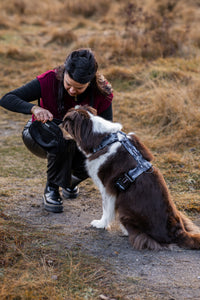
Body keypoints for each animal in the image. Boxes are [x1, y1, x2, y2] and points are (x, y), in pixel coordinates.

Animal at [61, 105, 200, 251]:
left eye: (64, 123)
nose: (57, 125)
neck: (104, 139)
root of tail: (177, 232)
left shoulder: (107, 188)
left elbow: (106, 208)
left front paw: (101, 224)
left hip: (124, 208)